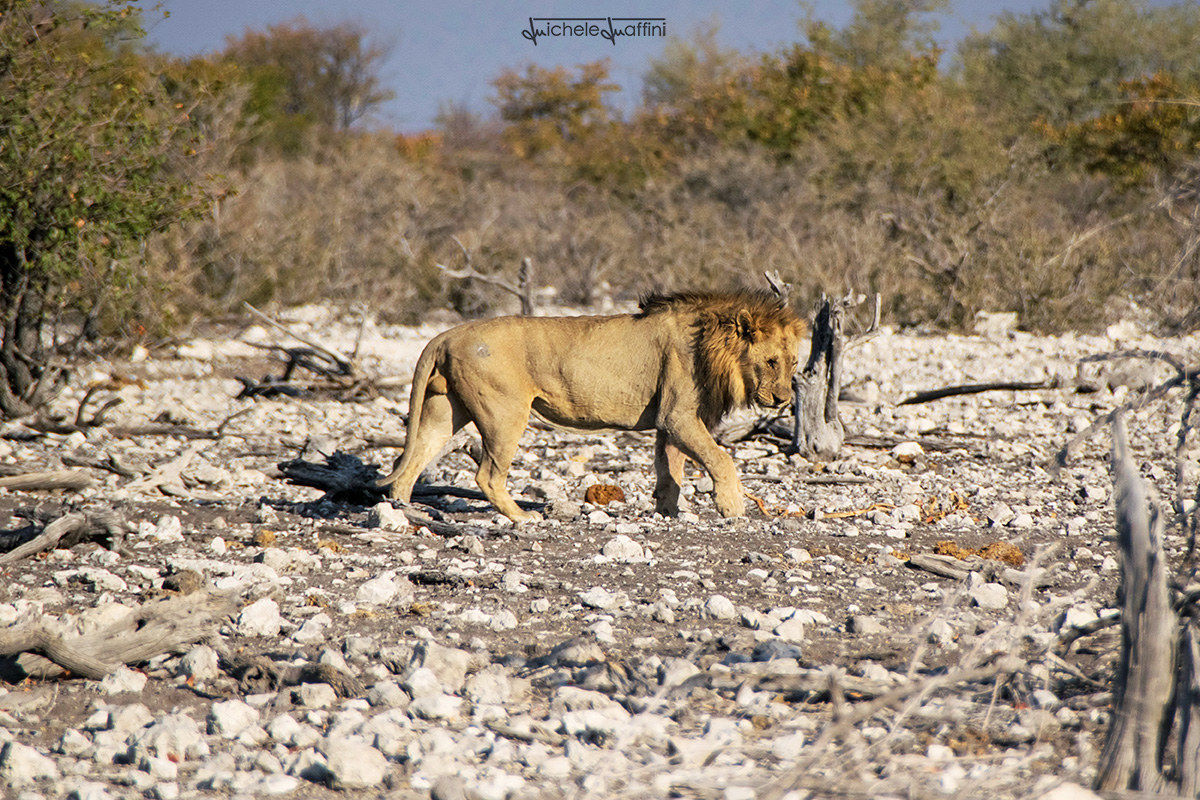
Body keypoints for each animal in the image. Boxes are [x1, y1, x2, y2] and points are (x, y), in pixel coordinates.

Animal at [378, 291, 803, 522]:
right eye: (770, 362)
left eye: (794, 363)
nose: (783, 399)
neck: (713, 342)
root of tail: (448, 333)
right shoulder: (679, 416)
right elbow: (721, 459)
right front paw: (732, 508)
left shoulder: (670, 420)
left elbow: (670, 471)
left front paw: (666, 513)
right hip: (505, 413)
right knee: (487, 476)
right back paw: (523, 517)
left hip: (444, 409)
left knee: (411, 460)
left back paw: (401, 514)